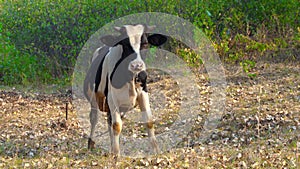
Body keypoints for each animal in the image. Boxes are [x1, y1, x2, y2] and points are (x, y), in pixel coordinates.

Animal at [83, 24, 168, 156]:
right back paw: (91, 143)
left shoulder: (143, 93)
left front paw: (156, 151)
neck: (129, 78)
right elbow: (117, 125)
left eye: (145, 43)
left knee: (109, 121)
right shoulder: (112, 98)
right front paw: (116, 155)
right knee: (94, 118)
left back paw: (111, 147)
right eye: (126, 44)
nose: (137, 65)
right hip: (94, 99)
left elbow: (148, 121)